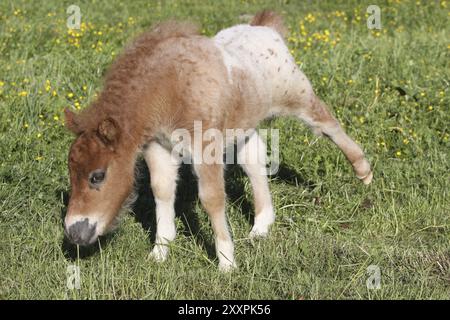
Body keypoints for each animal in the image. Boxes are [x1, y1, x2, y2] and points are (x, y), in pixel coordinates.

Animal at [63, 11, 372, 270]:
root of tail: (263, 26)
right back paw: (261, 226)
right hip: (244, 124)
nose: (74, 232)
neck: (169, 87)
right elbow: (162, 190)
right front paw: (160, 252)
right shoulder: (159, 147)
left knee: (327, 124)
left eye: (97, 176)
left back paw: (363, 171)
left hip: (297, 95)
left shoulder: (205, 148)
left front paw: (226, 262)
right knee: (253, 160)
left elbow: (212, 198)